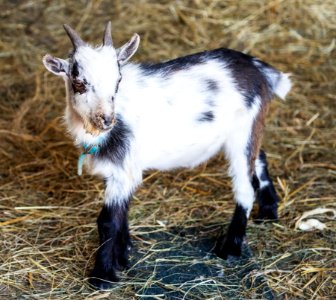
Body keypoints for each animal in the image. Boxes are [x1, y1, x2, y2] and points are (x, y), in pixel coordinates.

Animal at [42, 21, 292, 288]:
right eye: (79, 82)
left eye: (118, 80)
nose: (106, 119)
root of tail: (258, 68)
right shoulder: (122, 171)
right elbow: (122, 213)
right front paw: (123, 255)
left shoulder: (123, 169)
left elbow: (107, 221)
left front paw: (102, 276)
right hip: (248, 130)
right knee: (260, 157)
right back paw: (268, 211)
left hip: (242, 132)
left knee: (245, 187)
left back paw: (231, 249)